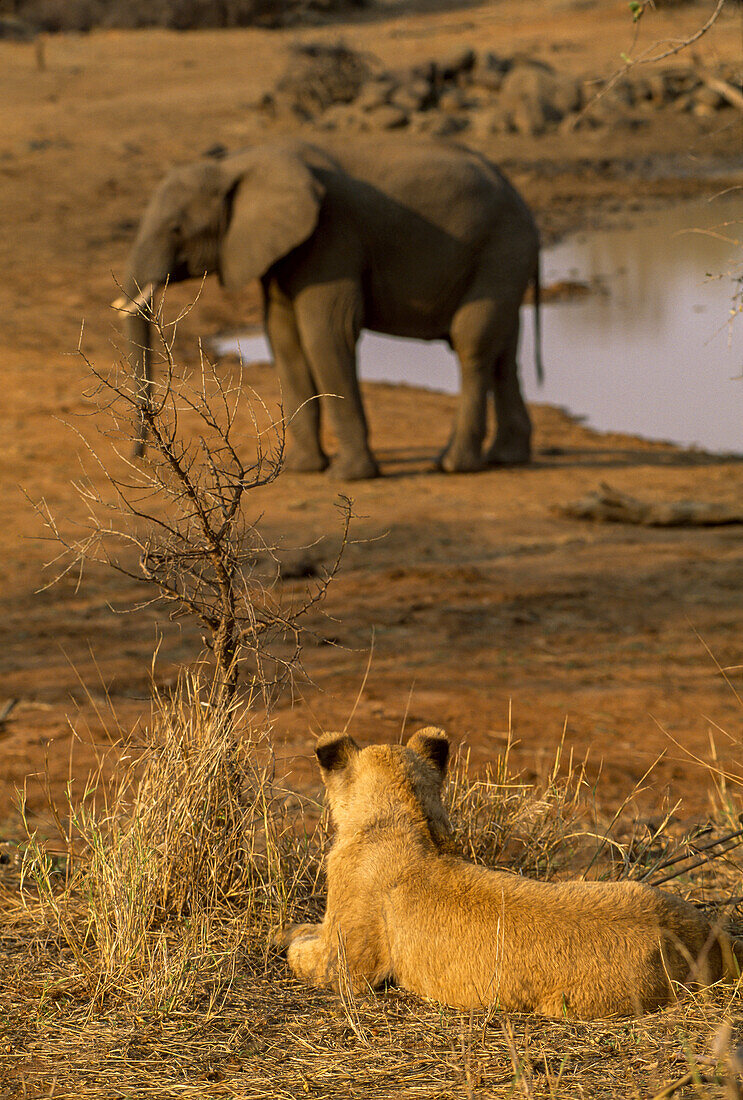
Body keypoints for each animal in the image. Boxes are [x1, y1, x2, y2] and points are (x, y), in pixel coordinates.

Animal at [117, 135, 545, 479]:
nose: (140, 456)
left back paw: (453, 465)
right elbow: (284, 338)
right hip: (503, 256)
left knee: (472, 342)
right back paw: (506, 457)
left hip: (501, 248)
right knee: (504, 350)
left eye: (176, 229)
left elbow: (326, 333)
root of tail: (522, 202)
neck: (236, 165)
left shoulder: (331, 236)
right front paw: (302, 469)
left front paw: (349, 477)